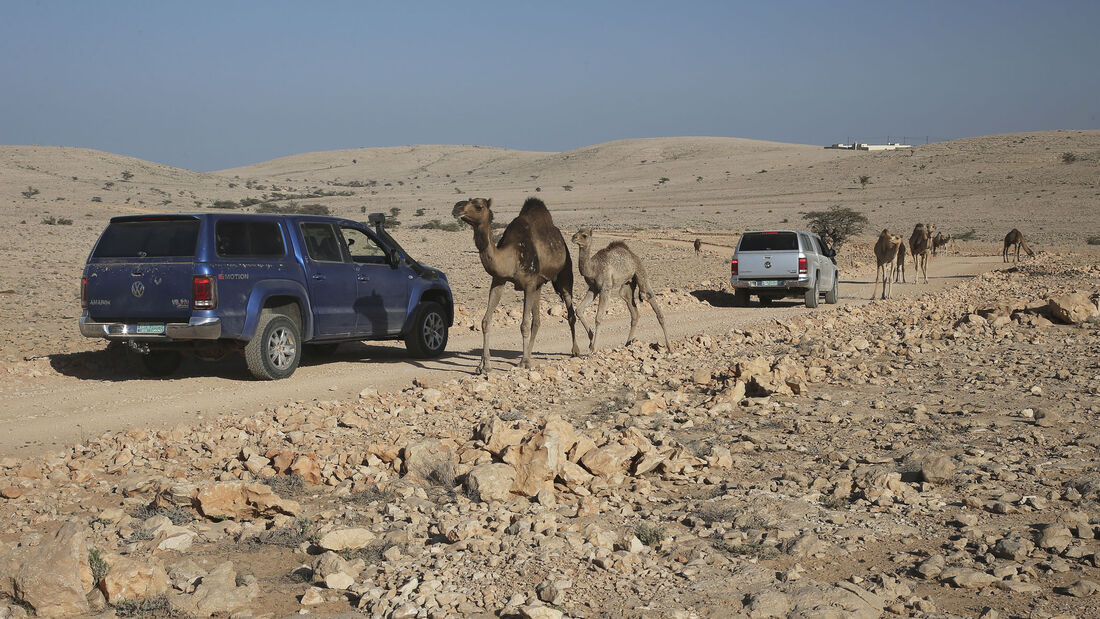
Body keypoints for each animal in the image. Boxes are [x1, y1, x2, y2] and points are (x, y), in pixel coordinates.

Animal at [451, 199, 580, 373]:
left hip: (564, 273)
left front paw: (523, 364)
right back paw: (528, 356)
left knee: (570, 311)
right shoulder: (499, 280)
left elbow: (524, 324)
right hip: (539, 285)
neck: (511, 256)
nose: (456, 207)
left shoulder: (529, 284)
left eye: (479, 206)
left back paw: (574, 351)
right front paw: (484, 365)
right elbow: (485, 321)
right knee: (537, 321)